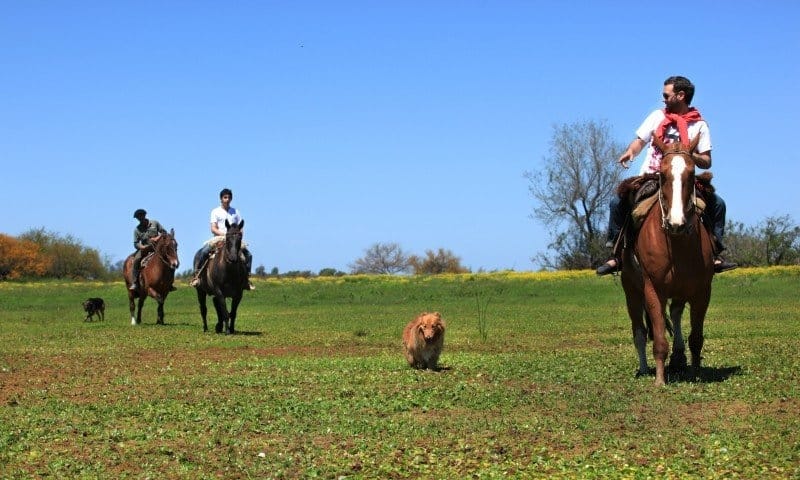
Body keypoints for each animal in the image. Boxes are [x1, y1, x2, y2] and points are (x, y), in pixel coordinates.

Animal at [620, 135, 716, 386]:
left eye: (691, 174)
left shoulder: (702, 291)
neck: (676, 243)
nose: (676, 223)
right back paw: (645, 368)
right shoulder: (653, 290)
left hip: (680, 290)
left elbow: (696, 337)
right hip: (631, 292)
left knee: (675, 314)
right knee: (640, 332)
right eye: (662, 175)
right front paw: (660, 380)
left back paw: (679, 358)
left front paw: (695, 373)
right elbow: (659, 338)